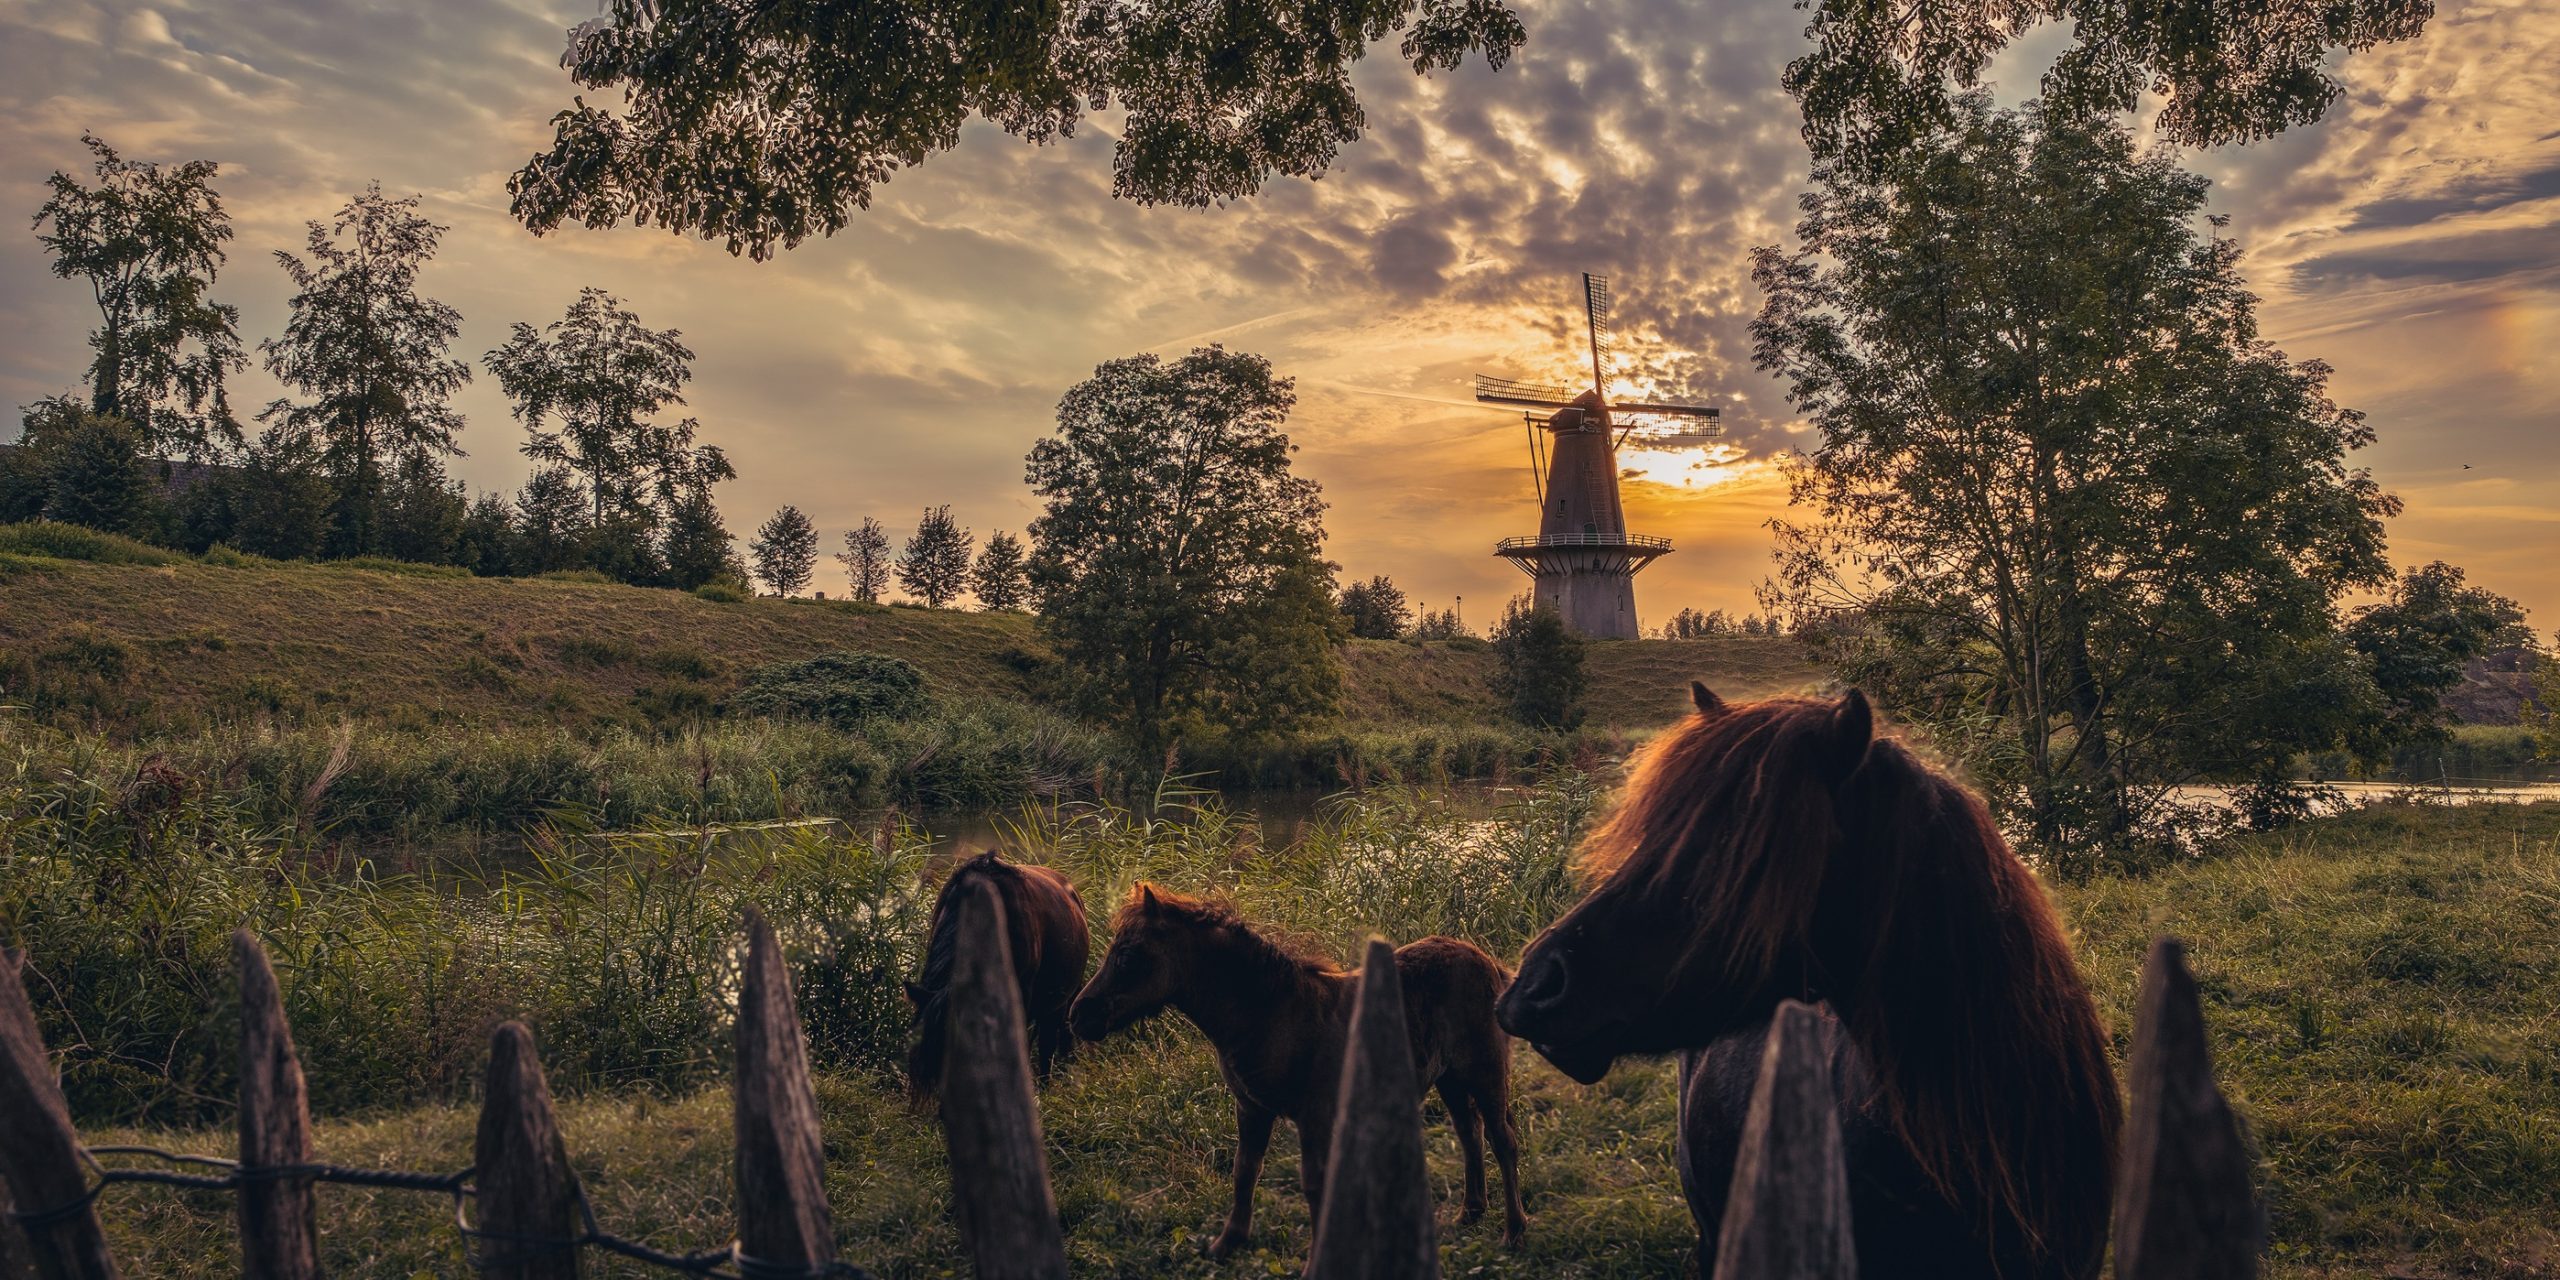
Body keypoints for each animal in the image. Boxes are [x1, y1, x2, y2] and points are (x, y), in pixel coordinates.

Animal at [1059, 885, 1515, 1254]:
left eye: (1127, 954)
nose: (1079, 1015)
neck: (1271, 1011)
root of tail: (1485, 959)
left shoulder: (1313, 1115)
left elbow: (1314, 1185)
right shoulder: (1251, 1108)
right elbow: (1245, 1171)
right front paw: (1227, 1243)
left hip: (1487, 1074)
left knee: (1502, 1140)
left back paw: (1516, 1230)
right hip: (1450, 1078)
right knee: (1469, 1134)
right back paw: (1471, 1212)